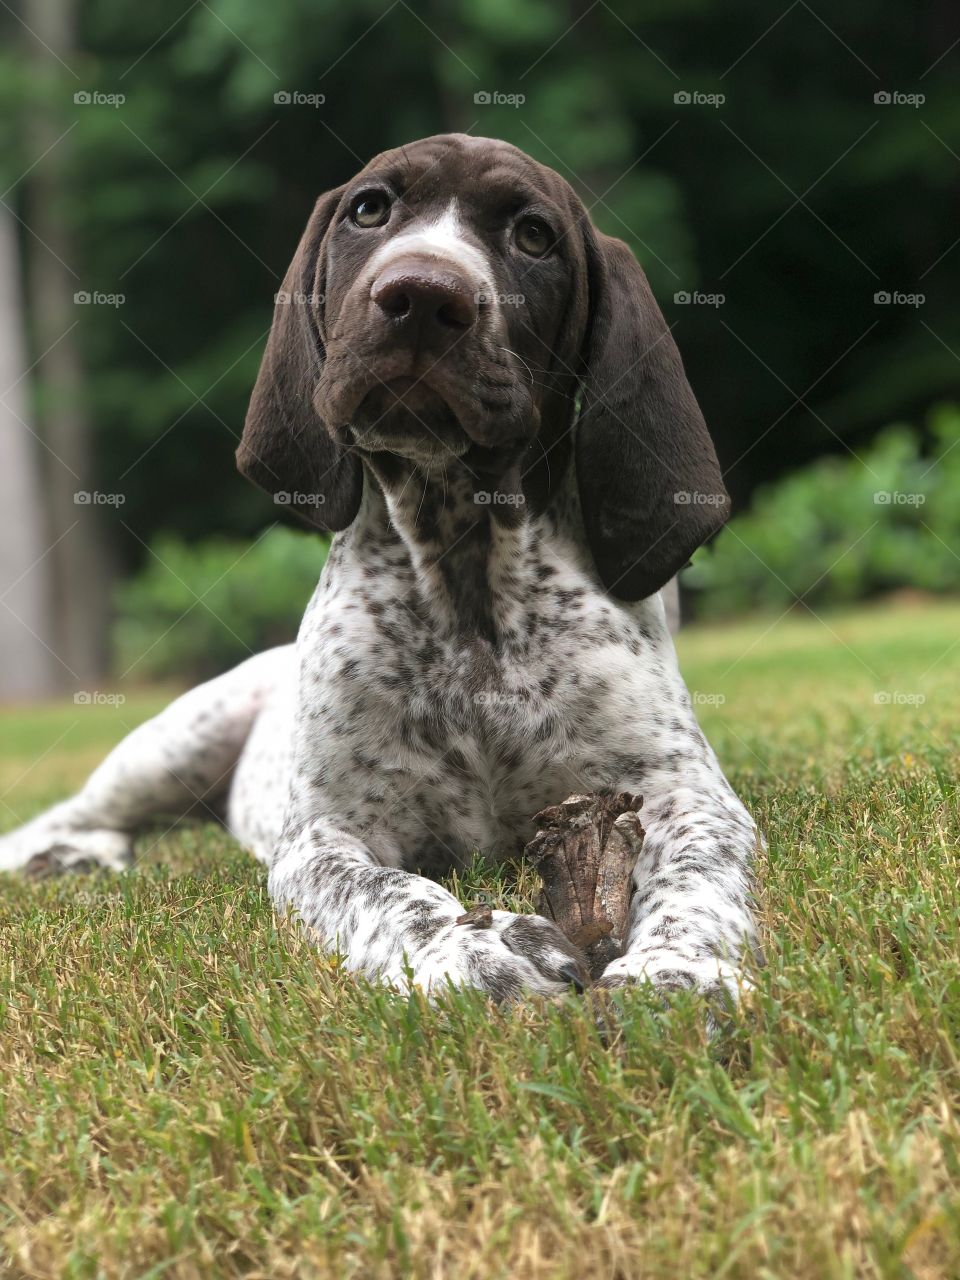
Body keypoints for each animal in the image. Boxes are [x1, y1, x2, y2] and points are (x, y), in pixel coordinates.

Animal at [3, 135, 762, 1003]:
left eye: (534, 236)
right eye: (369, 209)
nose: (422, 296)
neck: (465, 573)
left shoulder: (684, 795)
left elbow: (697, 881)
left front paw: (679, 971)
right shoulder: (329, 835)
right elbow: (394, 894)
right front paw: (472, 947)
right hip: (173, 743)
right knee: (71, 812)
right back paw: (69, 853)